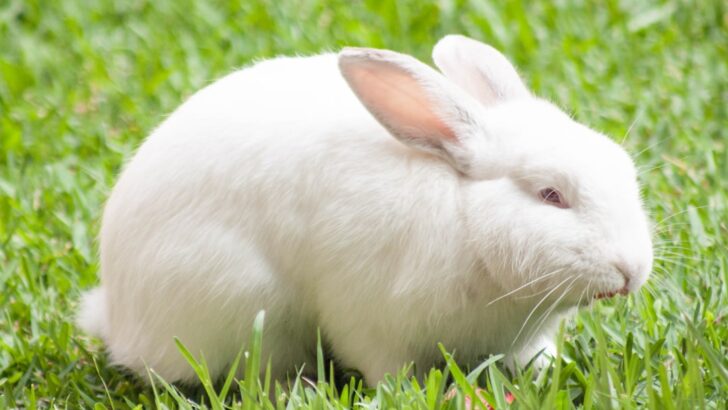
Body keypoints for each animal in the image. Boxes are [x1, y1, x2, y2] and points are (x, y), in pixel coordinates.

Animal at [78, 34, 653, 385]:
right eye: (551, 195)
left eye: (621, 165)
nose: (631, 270)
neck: (465, 217)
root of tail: (120, 320)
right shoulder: (371, 320)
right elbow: (385, 368)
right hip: (246, 307)